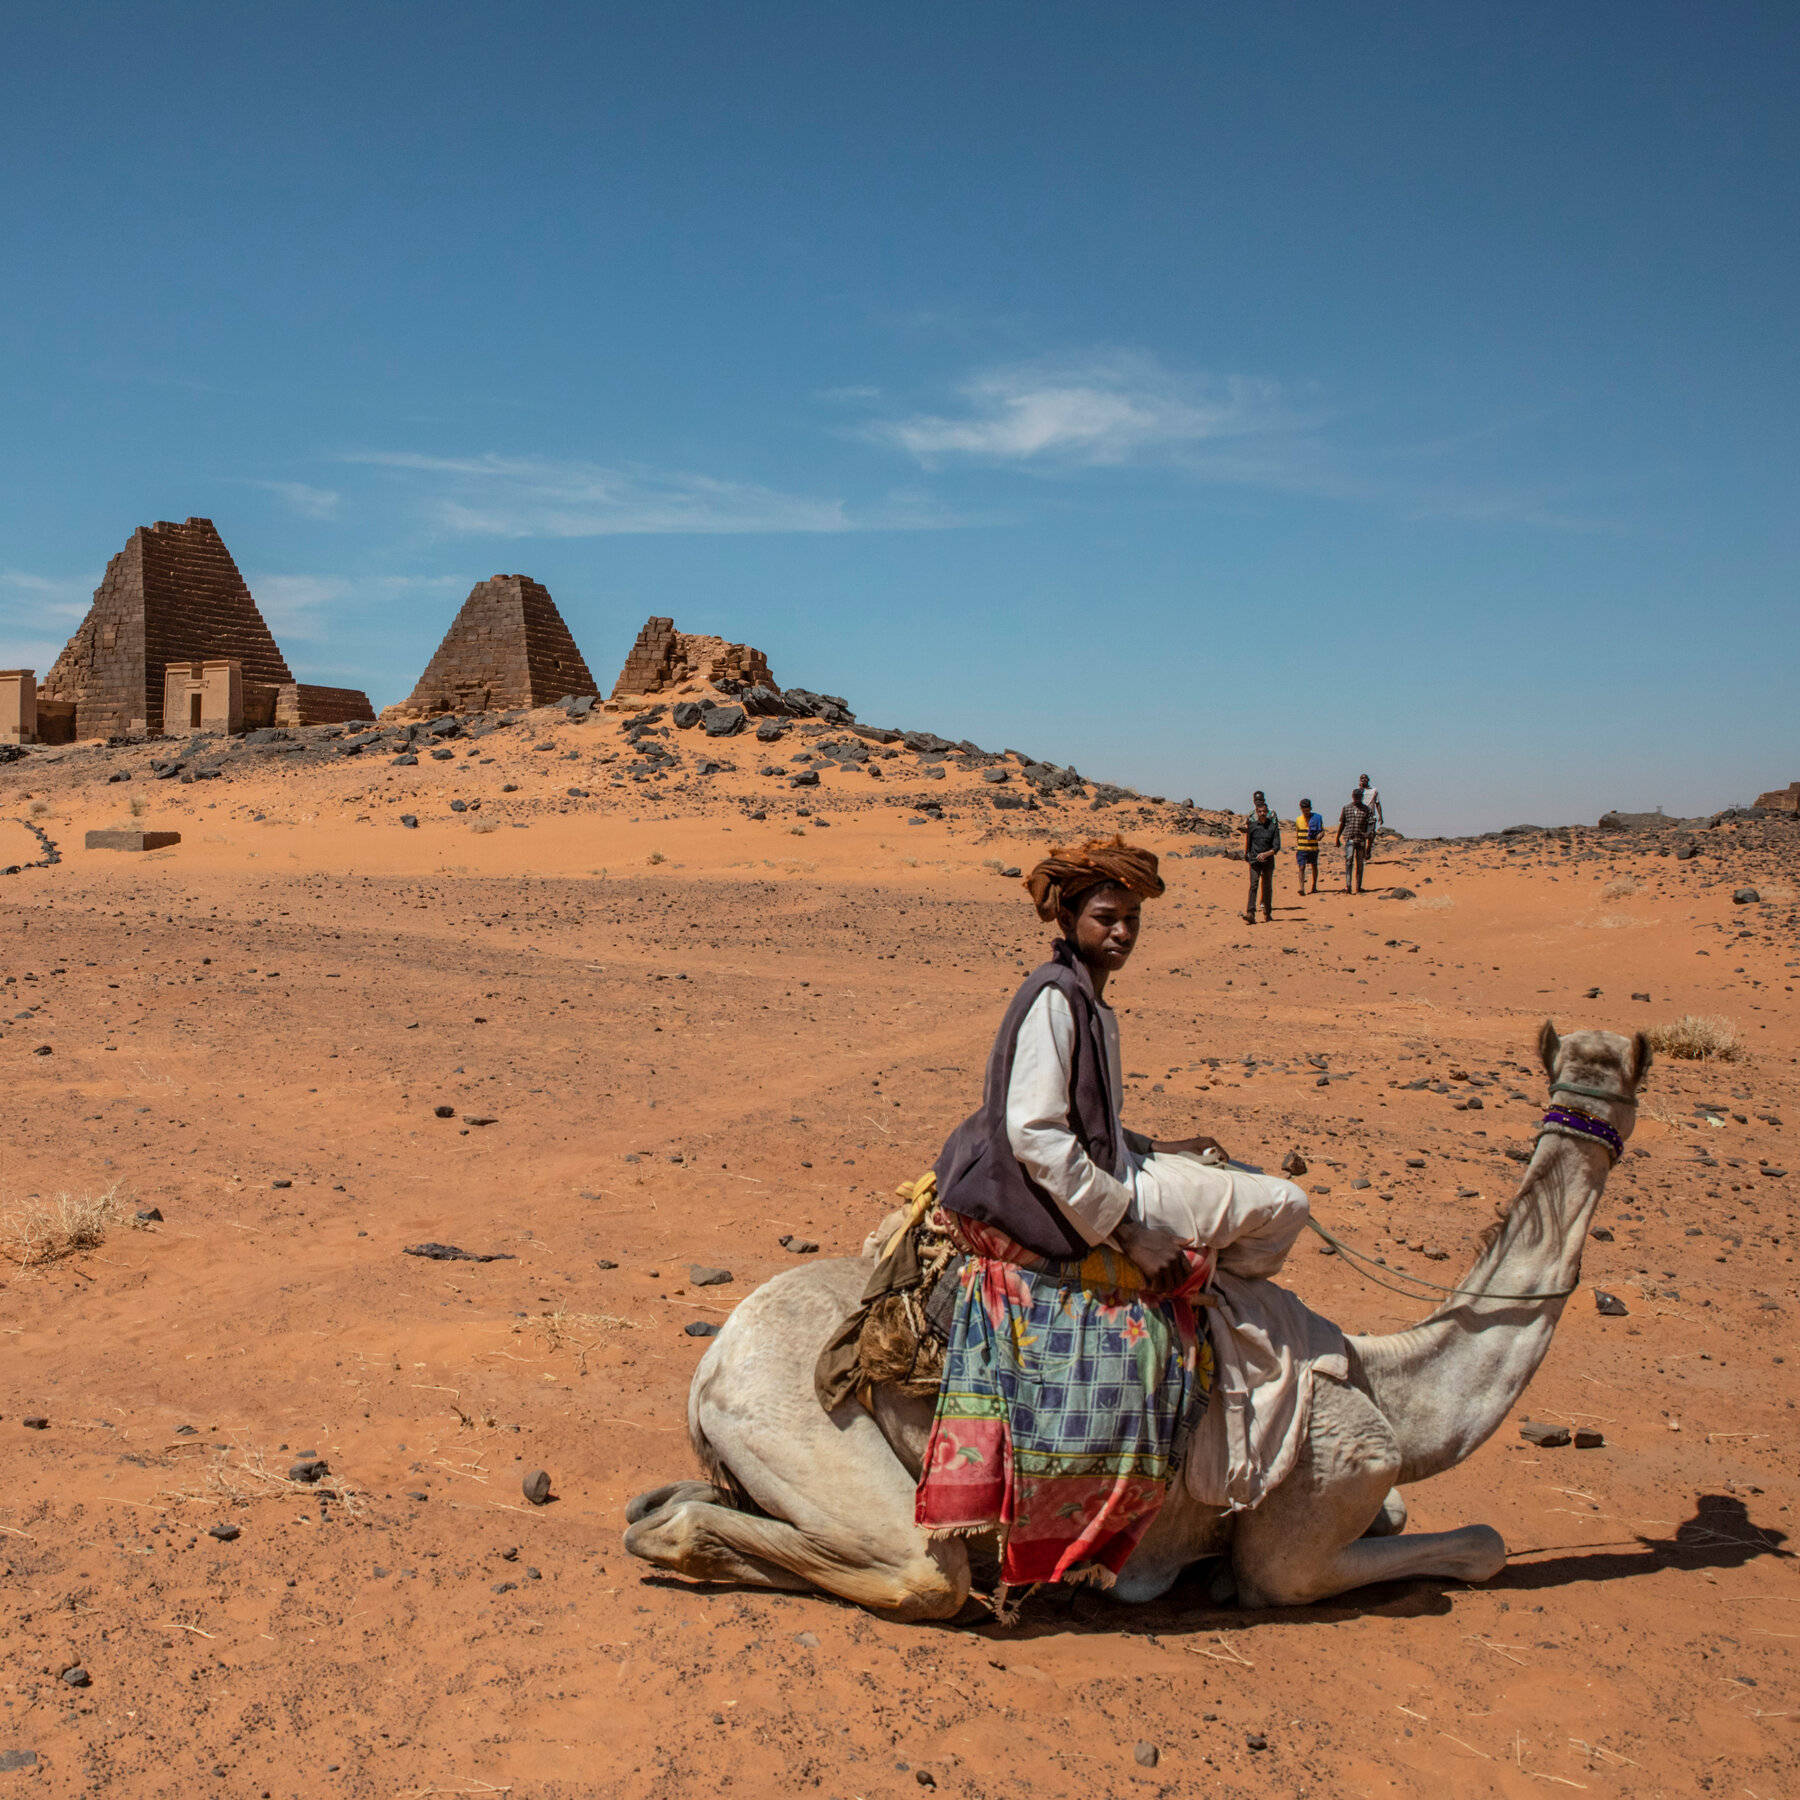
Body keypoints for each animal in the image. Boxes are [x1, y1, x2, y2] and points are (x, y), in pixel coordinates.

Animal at [626, 1022, 1648, 1627]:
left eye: (1618, 1077)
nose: (1591, 1099)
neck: (1395, 1389)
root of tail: (709, 1367)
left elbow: (1406, 1514)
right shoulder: (1313, 1513)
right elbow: (1478, 1546)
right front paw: (1223, 1579)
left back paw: (675, 1503)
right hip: (803, 1417)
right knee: (919, 1572)